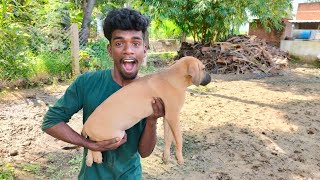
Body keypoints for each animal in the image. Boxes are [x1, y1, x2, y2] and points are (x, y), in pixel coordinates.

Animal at [82, 56, 211, 166]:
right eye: (203, 69)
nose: (211, 78)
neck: (174, 78)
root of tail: (86, 125)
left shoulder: (168, 116)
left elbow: (168, 138)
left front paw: (166, 157)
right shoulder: (173, 116)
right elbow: (179, 138)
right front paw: (180, 158)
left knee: (92, 142)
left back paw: (90, 159)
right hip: (117, 135)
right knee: (96, 143)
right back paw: (97, 156)